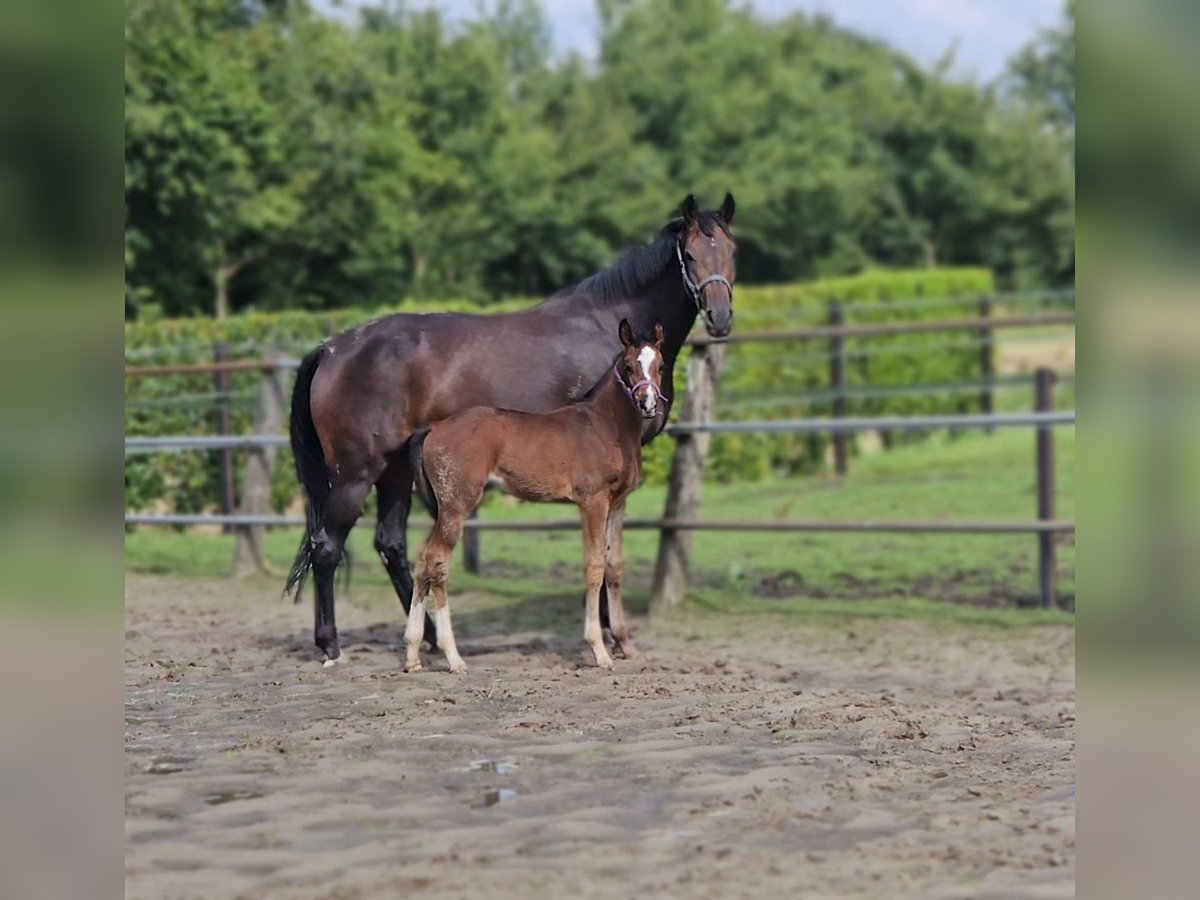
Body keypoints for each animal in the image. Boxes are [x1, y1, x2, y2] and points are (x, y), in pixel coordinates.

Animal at [403, 321, 667, 672]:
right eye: (628, 366)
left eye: (660, 366)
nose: (647, 404)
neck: (605, 425)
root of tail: (432, 431)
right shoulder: (592, 501)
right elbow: (594, 566)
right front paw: (599, 650)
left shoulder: (618, 503)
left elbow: (614, 567)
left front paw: (626, 645)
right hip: (457, 504)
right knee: (437, 561)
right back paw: (453, 656)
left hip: (443, 507)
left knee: (422, 560)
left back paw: (412, 654)